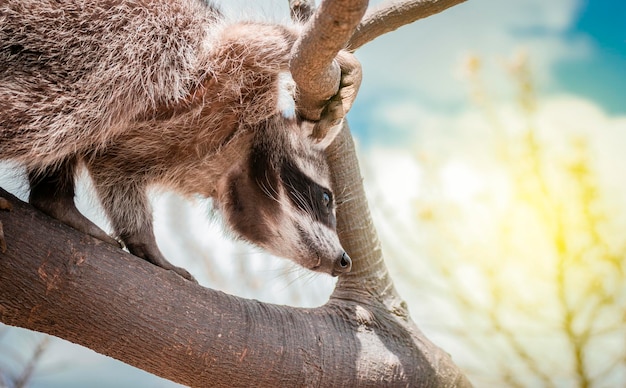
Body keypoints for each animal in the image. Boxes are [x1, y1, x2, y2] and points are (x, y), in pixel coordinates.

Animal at [0, 0, 354, 278]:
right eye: (326, 199)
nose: (344, 260)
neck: (229, 159)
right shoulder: (213, 70)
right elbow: (251, 41)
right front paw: (341, 65)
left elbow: (116, 174)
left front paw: (143, 240)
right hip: (95, 42)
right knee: (62, 112)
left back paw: (54, 198)